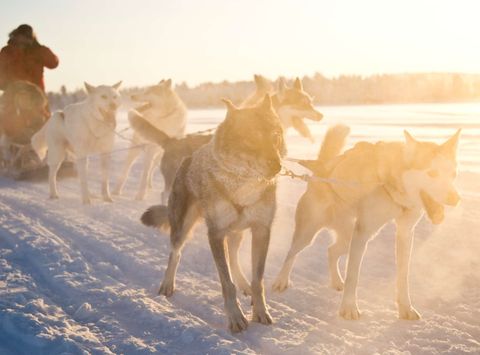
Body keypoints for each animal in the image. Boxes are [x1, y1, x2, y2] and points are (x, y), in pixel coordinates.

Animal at [142, 95, 284, 334]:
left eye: (275, 135)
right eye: (253, 138)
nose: (278, 166)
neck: (242, 184)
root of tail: (187, 157)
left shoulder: (261, 230)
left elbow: (258, 281)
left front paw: (260, 311)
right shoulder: (216, 234)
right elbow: (227, 284)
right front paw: (235, 317)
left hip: (237, 232)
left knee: (234, 257)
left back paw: (244, 285)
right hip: (183, 227)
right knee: (175, 253)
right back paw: (167, 284)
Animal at [272, 126, 460, 322]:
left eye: (453, 174)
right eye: (432, 173)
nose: (455, 199)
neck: (390, 182)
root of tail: (321, 169)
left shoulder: (405, 232)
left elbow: (403, 276)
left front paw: (405, 308)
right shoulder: (363, 234)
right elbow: (353, 275)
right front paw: (348, 308)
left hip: (348, 239)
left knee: (331, 251)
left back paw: (337, 281)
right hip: (310, 234)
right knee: (291, 253)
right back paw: (281, 281)